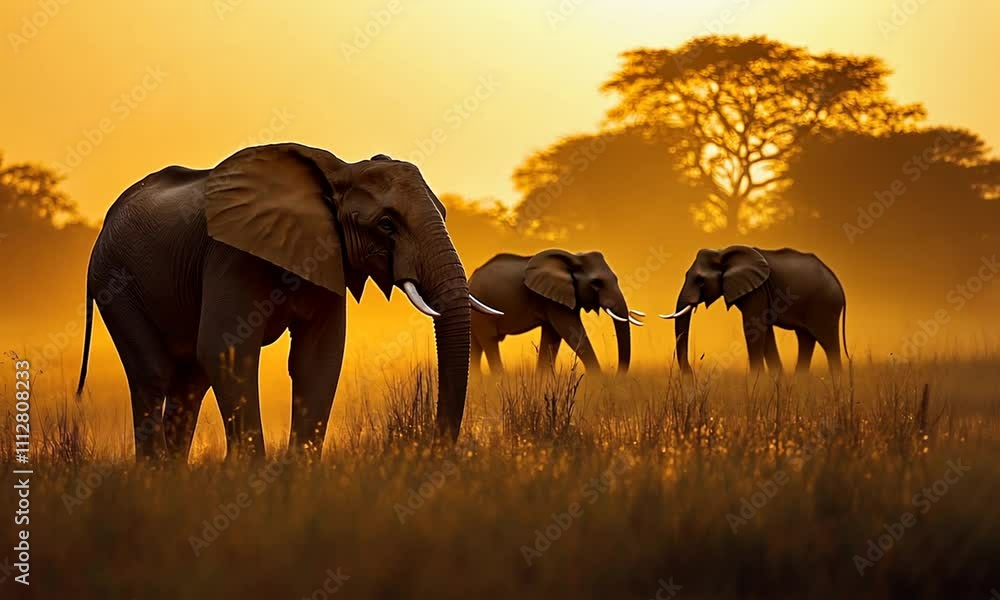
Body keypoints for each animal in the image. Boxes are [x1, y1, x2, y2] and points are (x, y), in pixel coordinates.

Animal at [75, 143, 499, 460]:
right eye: (386, 224)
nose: (431, 447)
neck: (338, 174)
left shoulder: (328, 255)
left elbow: (319, 358)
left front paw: (298, 474)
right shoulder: (230, 255)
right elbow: (226, 349)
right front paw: (252, 476)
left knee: (190, 381)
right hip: (115, 281)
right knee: (154, 374)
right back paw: (155, 476)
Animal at [468, 249, 644, 375]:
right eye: (596, 283)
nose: (617, 375)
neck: (573, 258)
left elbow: (552, 336)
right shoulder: (554, 302)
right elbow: (570, 330)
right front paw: (598, 380)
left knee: (476, 345)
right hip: (482, 310)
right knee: (489, 341)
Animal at [660, 246, 848, 375]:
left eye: (700, 281)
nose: (691, 373)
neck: (723, 252)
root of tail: (838, 282)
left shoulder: (757, 290)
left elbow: (753, 328)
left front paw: (757, 379)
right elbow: (765, 331)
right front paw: (775, 378)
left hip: (825, 306)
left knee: (829, 344)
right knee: (805, 339)